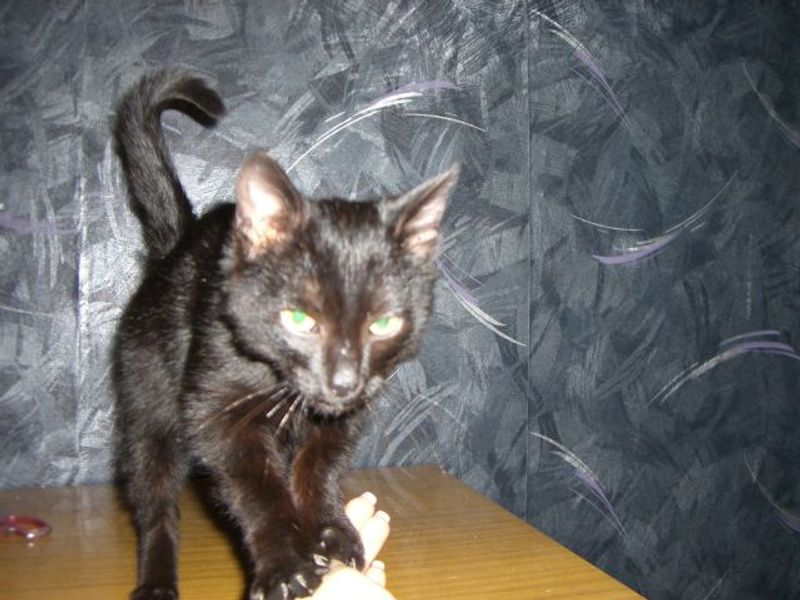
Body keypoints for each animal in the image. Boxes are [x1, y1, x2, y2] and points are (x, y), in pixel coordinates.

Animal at [112, 68, 458, 600]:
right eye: (299, 319)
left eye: (382, 323)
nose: (343, 381)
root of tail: (174, 247)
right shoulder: (216, 409)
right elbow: (257, 486)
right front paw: (285, 564)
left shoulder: (343, 417)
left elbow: (316, 464)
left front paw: (331, 533)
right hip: (147, 400)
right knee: (155, 499)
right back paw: (155, 581)